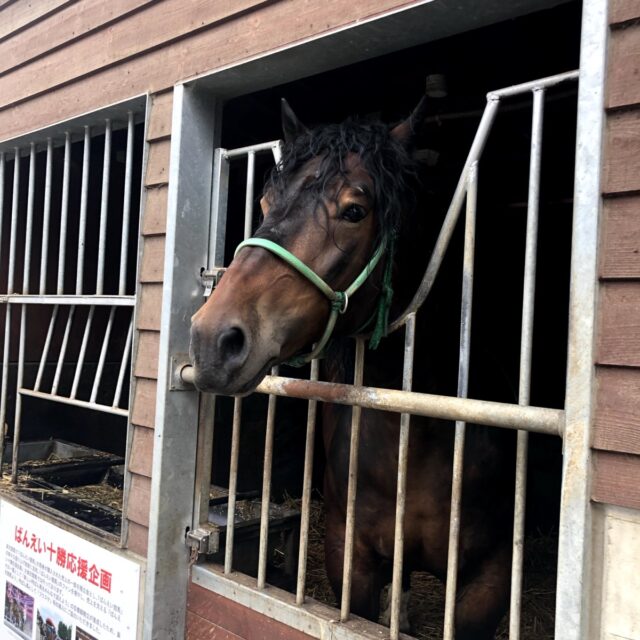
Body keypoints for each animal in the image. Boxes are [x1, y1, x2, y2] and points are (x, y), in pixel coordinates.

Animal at [189, 97, 515, 639]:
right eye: (265, 205)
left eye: (355, 211)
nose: (213, 339)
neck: (420, 438)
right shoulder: (351, 565)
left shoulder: (486, 585)